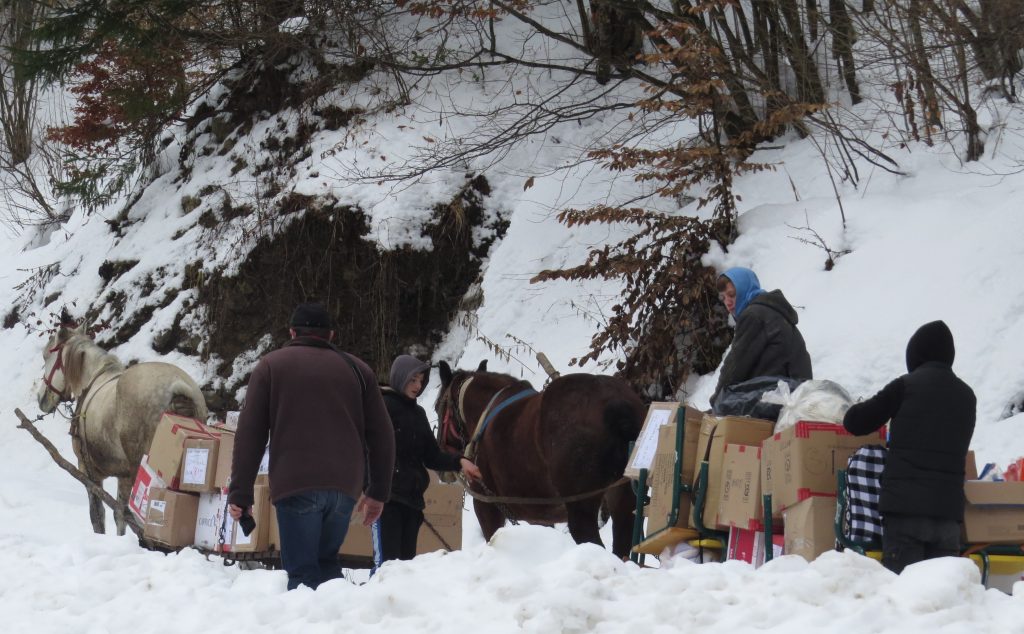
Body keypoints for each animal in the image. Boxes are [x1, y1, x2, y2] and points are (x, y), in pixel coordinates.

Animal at [37, 327, 207, 536]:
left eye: (46, 356)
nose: (41, 398)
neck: (92, 380)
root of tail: (178, 386)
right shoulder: (123, 477)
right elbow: (121, 514)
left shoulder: (88, 472)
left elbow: (98, 516)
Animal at [436, 360, 643, 557]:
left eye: (438, 407)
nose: (442, 471)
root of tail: (615, 404)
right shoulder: (540, 517)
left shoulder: (487, 506)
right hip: (623, 501)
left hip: (581, 508)